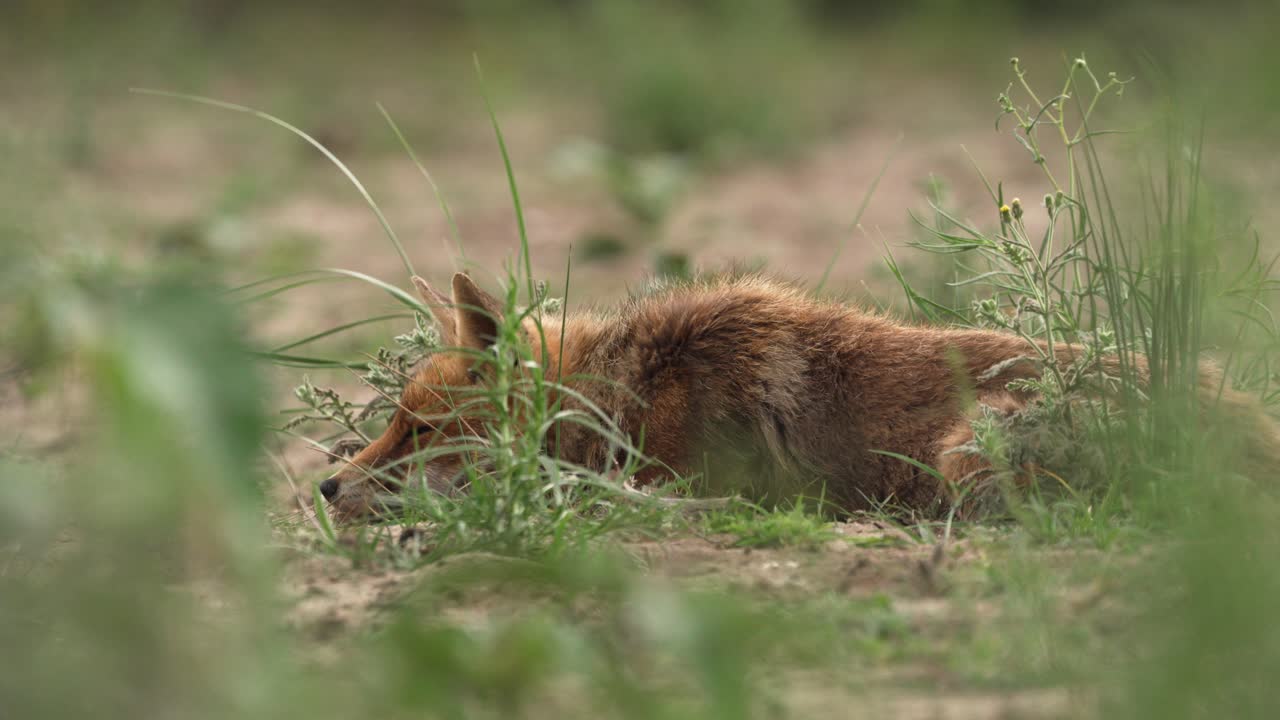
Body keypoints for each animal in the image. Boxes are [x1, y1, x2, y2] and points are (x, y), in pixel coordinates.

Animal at [318, 271, 1280, 521]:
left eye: (421, 430)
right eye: (394, 422)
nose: (323, 487)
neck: (624, 393)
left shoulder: (688, 481)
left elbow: (589, 495)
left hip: (967, 454)